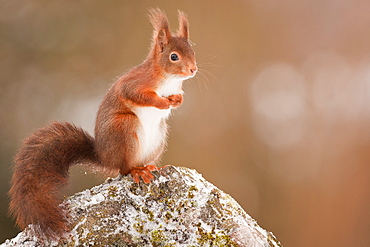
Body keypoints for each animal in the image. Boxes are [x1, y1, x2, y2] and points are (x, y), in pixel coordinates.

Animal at [8, 8, 198, 240]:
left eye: (192, 51)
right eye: (174, 56)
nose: (193, 70)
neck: (168, 79)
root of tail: (105, 156)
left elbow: (178, 98)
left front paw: (176, 101)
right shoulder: (135, 83)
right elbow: (138, 95)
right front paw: (161, 102)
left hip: (159, 136)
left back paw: (149, 166)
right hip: (125, 127)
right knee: (124, 169)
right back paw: (137, 171)